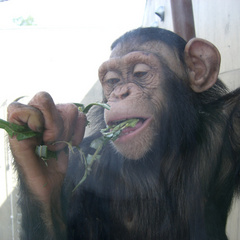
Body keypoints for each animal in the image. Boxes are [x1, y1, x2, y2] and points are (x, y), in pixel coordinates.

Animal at [6, 27, 240, 239]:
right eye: (113, 81)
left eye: (140, 73)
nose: (120, 93)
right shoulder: (79, 164)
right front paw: (35, 148)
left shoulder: (227, 121)